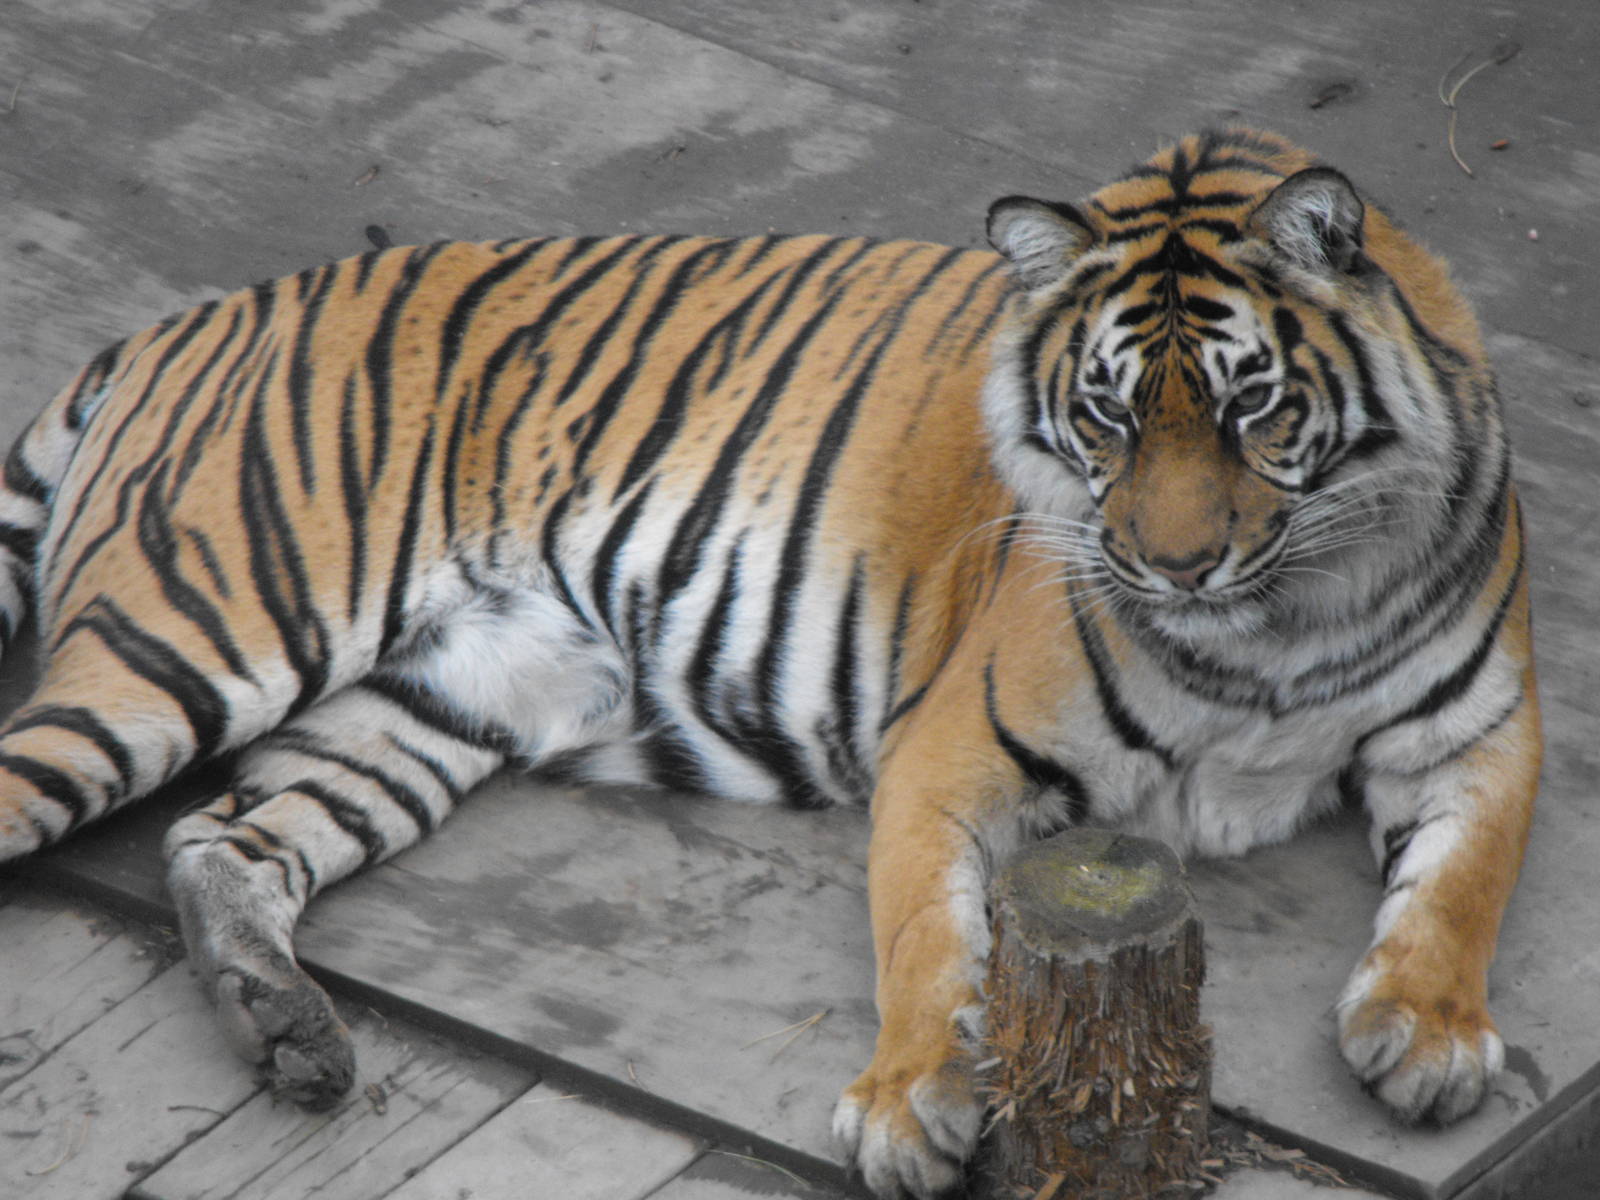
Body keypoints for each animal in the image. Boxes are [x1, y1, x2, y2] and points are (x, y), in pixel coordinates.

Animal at [0, 128, 1539, 1199]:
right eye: (1104, 416)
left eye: (1247, 409)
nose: (1169, 568)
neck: (1278, 625)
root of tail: (180, 323)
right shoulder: (951, 750)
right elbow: (927, 939)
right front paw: (910, 1105)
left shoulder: (1484, 731)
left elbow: (1462, 885)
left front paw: (1427, 1033)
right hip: (203, 633)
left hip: (431, 704)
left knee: (222, 839)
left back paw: (285, 1031)